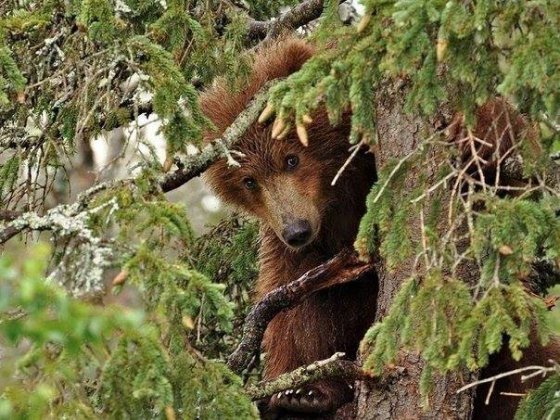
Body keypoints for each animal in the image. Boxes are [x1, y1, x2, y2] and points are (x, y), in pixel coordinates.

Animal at [201, 37, 560, 418]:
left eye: (291, 158)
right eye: (249, 181)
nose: (297, 230)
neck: (337, 192)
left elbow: (512, 165)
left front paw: (470, 131)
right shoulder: (294, 244)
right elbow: (288, 305)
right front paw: (295, 389)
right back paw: (311, 395)